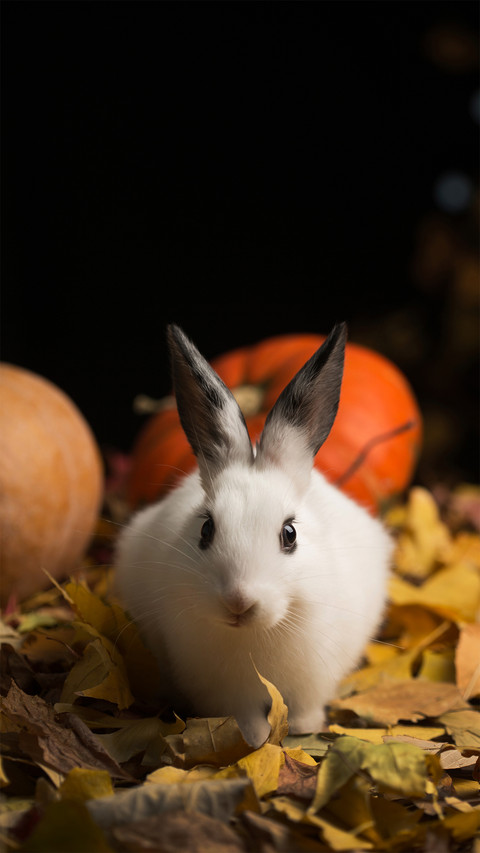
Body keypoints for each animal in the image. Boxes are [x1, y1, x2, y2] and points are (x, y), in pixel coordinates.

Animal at [115, 323, 392, 747]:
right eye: (206, 528)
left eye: (290, 534)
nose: (238, 601)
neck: (257, 634)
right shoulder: (226, 692)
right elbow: (244, 717)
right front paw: (255, 738)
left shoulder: (314, 678)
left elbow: (306, 705)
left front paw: (306, 727)